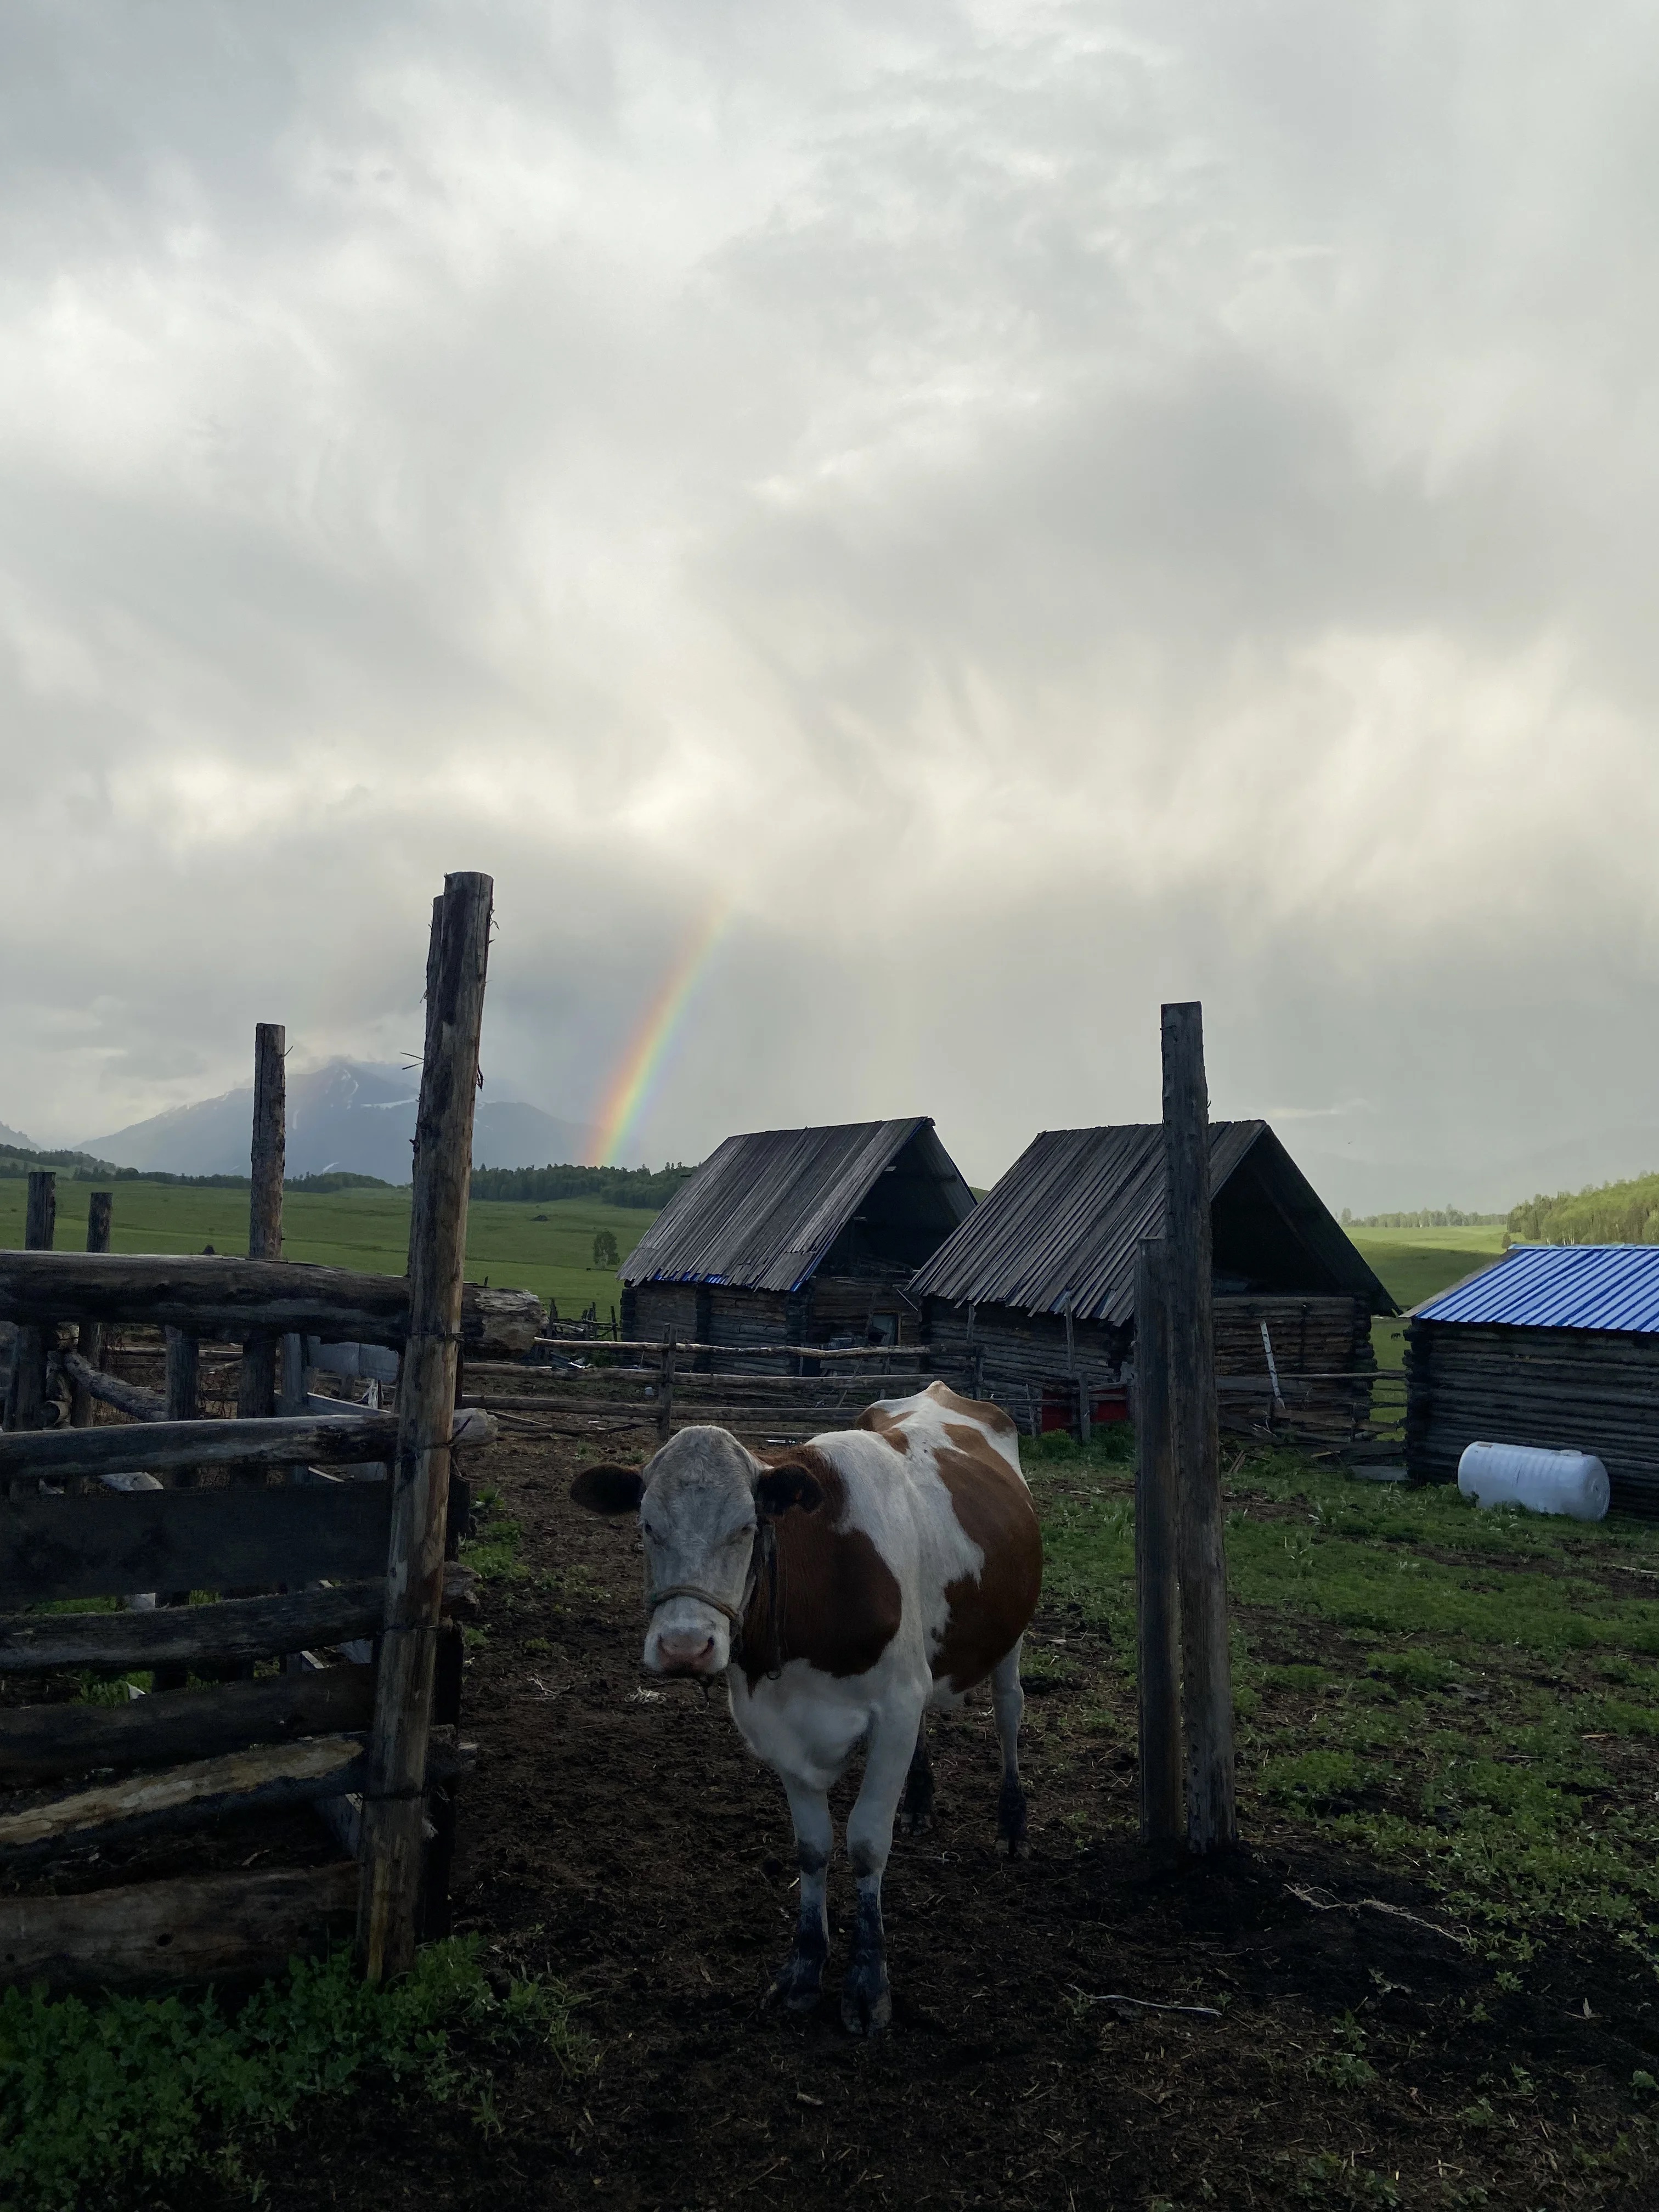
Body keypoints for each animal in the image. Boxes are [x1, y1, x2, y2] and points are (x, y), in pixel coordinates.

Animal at [571, 1380, 1040, 2035]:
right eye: (646, 1525)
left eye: (748, 1526)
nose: (685, 1647)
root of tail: (939, 1390)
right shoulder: (780, 1725)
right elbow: (813, 1848)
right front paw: (804, 1968)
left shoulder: (895, 1706)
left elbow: (866, 1842)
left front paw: (868, 1984)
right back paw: (919, 1804)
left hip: (1009, 1635)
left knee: (1008, 1711)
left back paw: (1012, 1823)